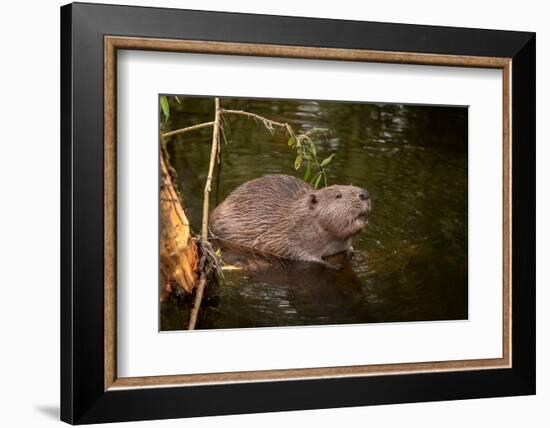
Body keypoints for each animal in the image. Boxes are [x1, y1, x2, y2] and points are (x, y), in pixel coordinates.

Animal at [209, 172, 374, 266]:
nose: (365, 194)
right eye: (338, 195)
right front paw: (328, 264)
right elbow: (295, 253)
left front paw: (354, 252)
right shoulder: (282, 236)